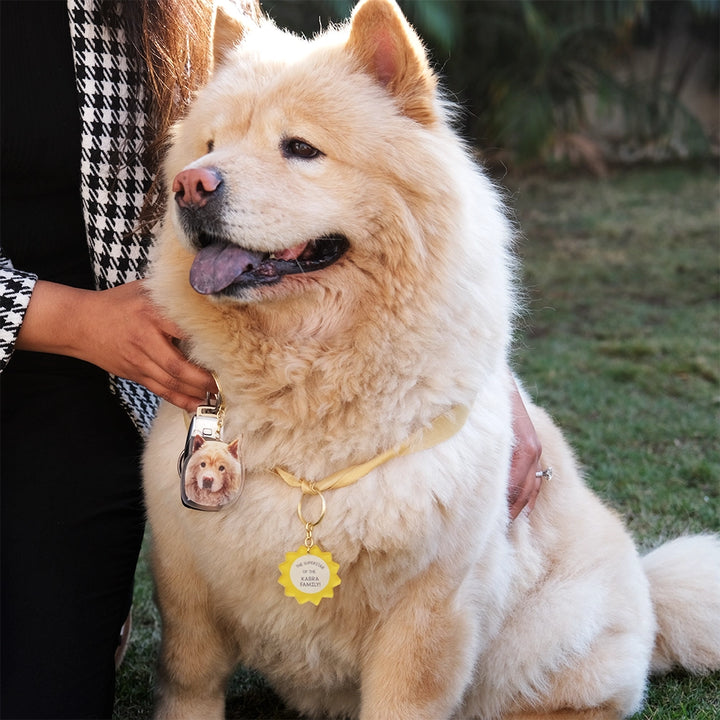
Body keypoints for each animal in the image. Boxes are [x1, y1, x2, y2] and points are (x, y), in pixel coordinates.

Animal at [142, 1, 720, 720]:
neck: (305, 378)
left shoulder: (427, 607)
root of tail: (647, 582)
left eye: (300, 148)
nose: (191, 186)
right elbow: (190, 682)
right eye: (209, 147)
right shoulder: (185, 579)